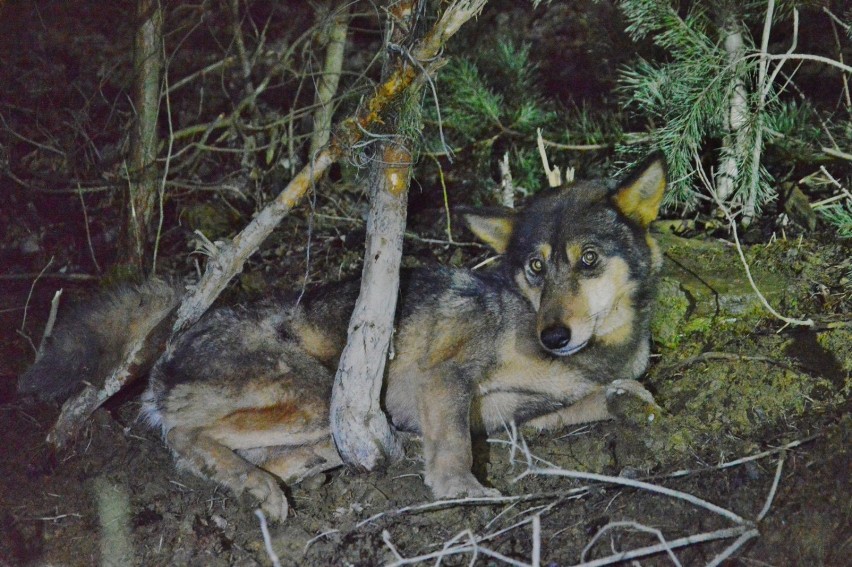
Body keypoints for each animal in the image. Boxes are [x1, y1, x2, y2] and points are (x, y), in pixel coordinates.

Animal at [20, 153, 668, 520]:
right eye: (535, 267)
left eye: (588, 259)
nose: (555, 334)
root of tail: (179, 331)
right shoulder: (447, 376)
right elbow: (455, 448)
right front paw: (459, 489)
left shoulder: (520, 417)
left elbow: (604, 399)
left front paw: (628, 400)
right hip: (316, 394)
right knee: (181, 438)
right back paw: (259, 490)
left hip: (320, 419)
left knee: (265, 455)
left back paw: (292, 475)